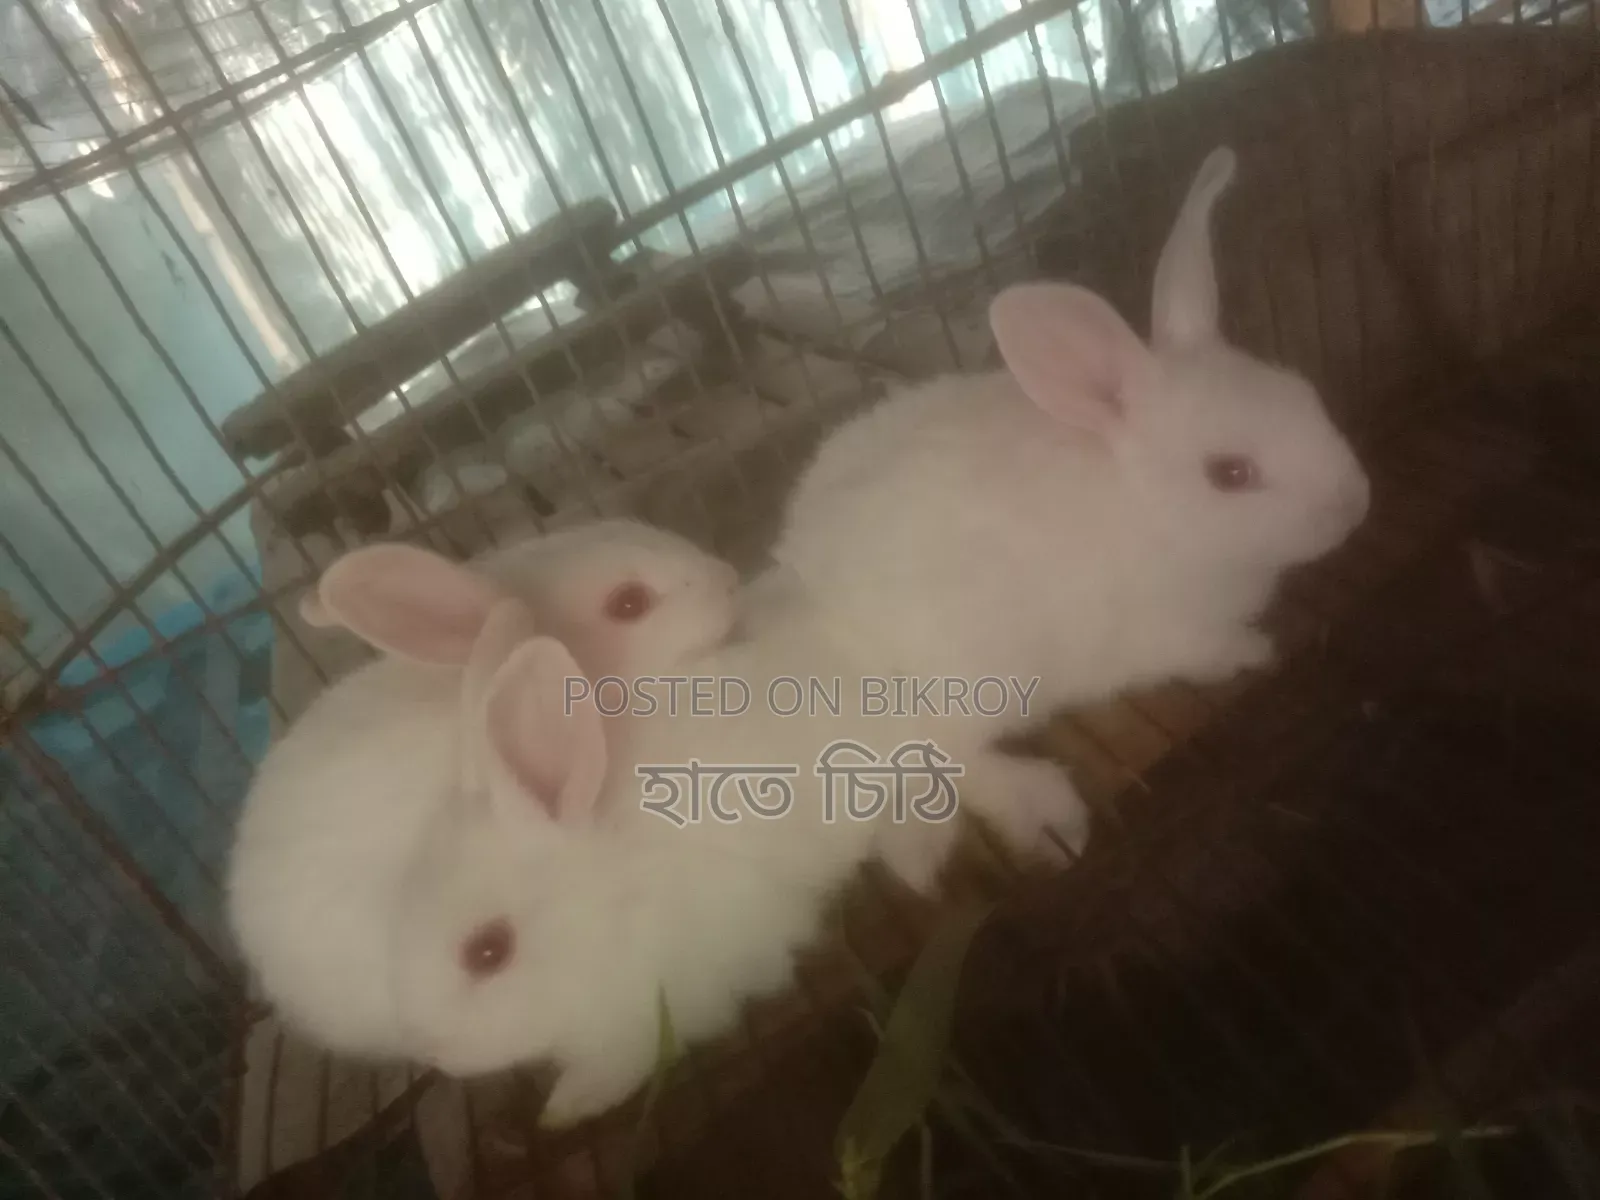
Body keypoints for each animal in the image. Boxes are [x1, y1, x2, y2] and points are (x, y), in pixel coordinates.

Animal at [387, 574, 962, 1127]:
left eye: (489, 951)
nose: (437, 1056)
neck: (610, 902)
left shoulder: (670, 1002)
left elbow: (624, 1061)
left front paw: (570, 1105)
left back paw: (919, 871)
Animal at [770, 146, 1372, 886]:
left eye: (1304, 392)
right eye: (1231, 474)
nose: (1355, 503)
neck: (1150, 508)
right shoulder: (1167, 635)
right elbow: (1206, 651)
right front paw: (1254, 652)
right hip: (976, 680)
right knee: (948, 756)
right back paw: (1042, 813)